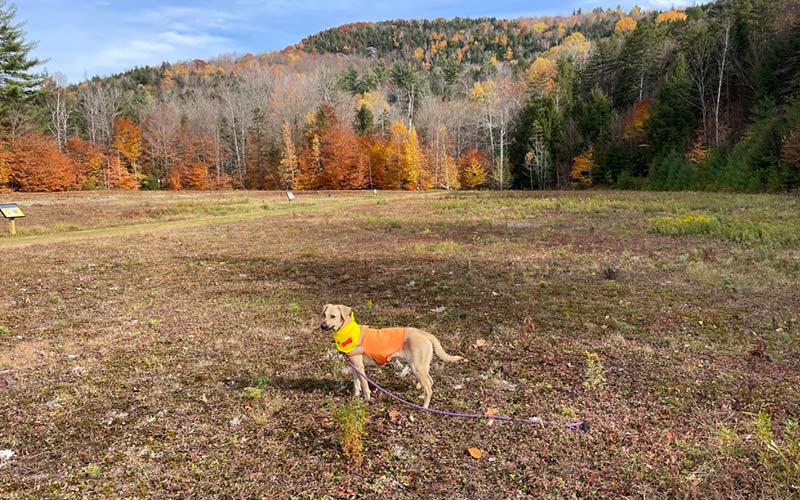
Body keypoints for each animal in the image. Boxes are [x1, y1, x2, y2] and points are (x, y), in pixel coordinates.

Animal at [322, 304, 466, 406]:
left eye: (333, 316)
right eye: (324, 315)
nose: (322, 326)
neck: (347, 330)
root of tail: (423, 333)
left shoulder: (359, 367)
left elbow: (364, 386)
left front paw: (367, 400)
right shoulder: (354, 367)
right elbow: (357, 384)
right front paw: (356, 397)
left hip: (417, 368)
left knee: (428, 388)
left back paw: (424, 407)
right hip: (422, 367)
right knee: (430, 382)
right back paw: (422, 396)